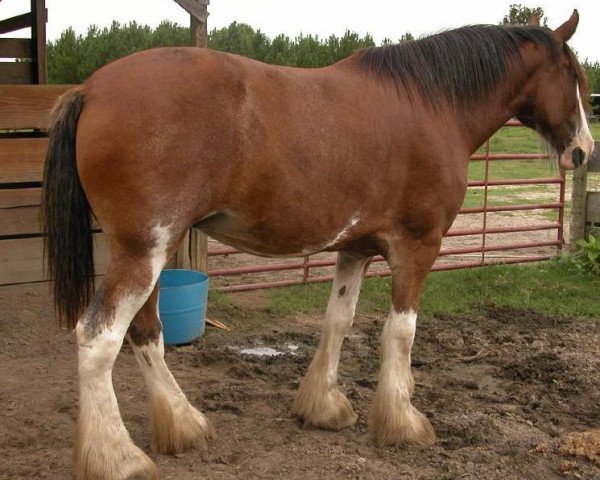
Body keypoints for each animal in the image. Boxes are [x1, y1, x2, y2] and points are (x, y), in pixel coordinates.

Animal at [42, 10, 596, 480]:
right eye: (573, 74)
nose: (582, 151)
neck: (431, 105)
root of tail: (91, 90)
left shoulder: (356, 247)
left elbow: (338, 321)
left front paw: (323, 407)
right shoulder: (418, 246)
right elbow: (401, 332)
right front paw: (402, 422)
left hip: (147, 251)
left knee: (146, 332)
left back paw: (184, 426)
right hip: (145, 250)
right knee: (98, 338)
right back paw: (118, 458)